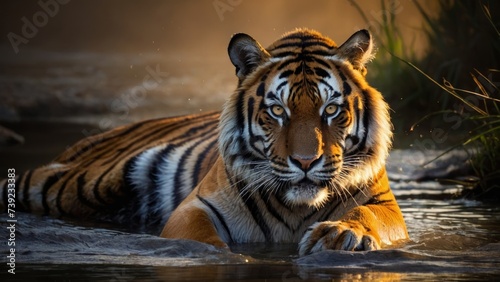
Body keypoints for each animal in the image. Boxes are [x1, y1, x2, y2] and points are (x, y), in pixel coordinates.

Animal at [0, 29, 408, 256]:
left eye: (331, 109)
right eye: (277, 110)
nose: (305, 162)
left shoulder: (385, 204)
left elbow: (367, 214)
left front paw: (340, 236)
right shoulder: (197, 205)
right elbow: (200, 236)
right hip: (74, 184)